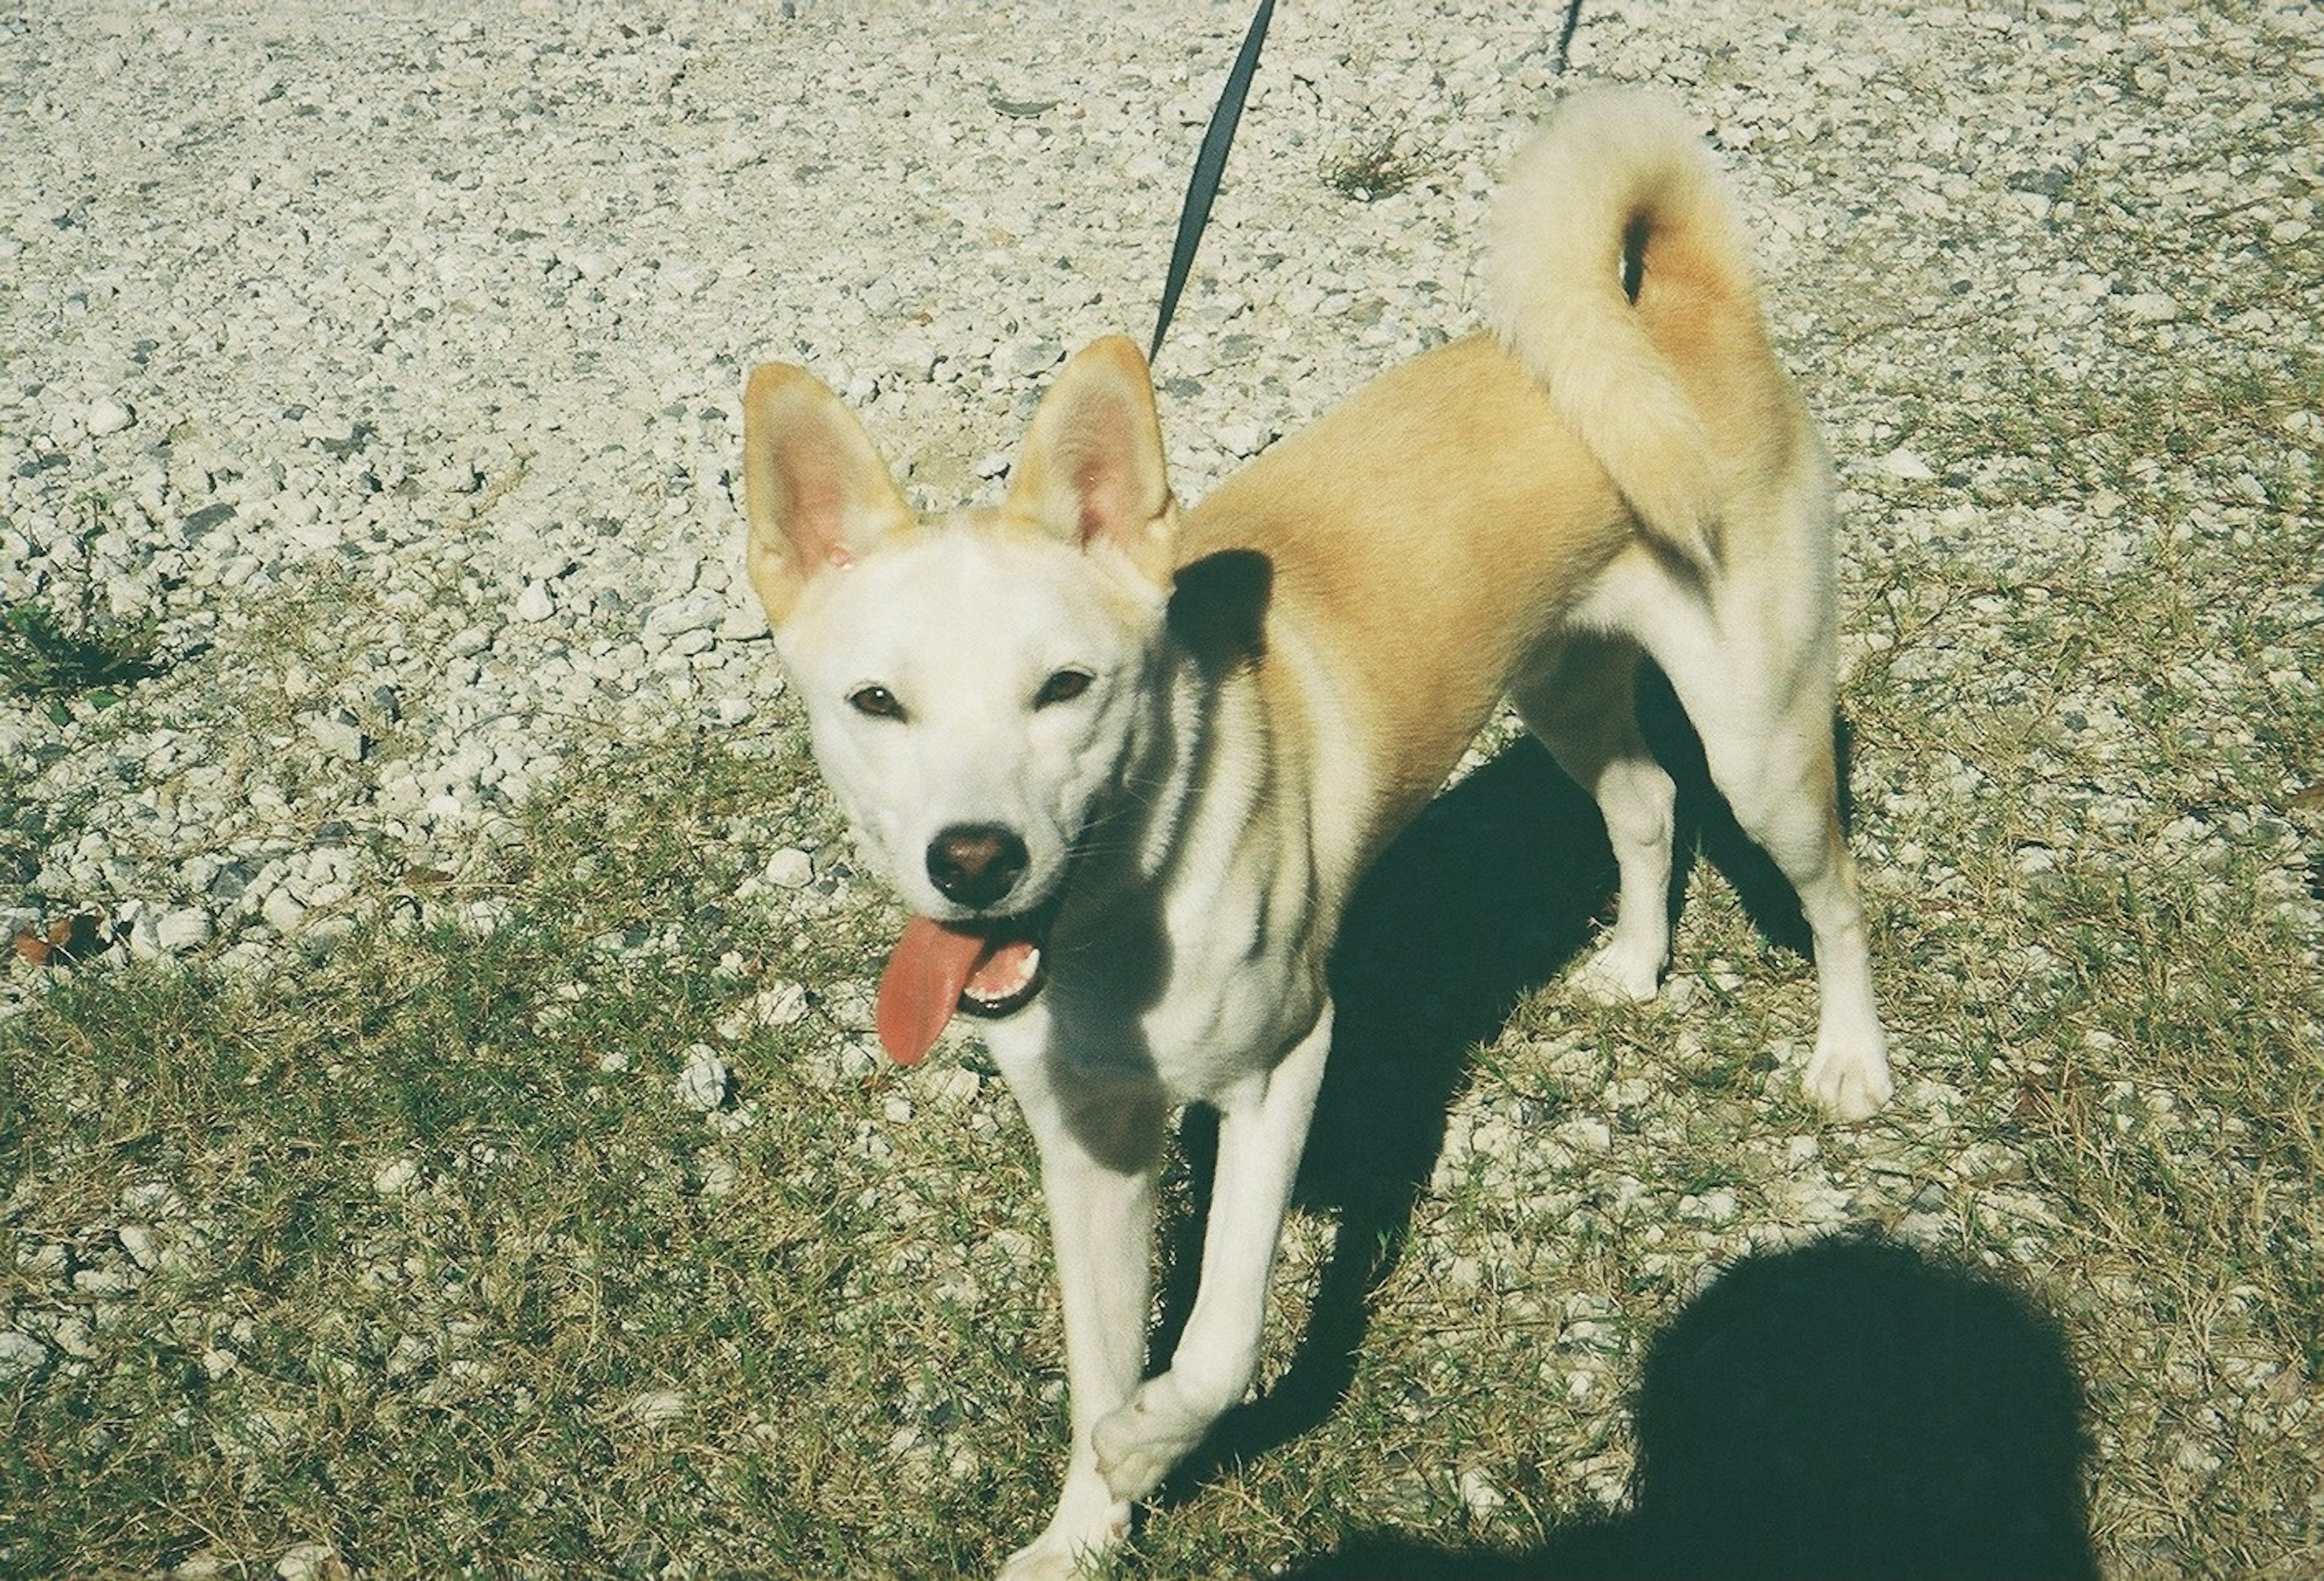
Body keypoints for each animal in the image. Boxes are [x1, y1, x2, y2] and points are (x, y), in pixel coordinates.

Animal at [739, 92, 1887, 1571]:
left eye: (1066, 687)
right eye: (877, 702)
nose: (974, 858)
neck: (1121, 908)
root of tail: (1682, 309)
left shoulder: (1289, 1061)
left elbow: (1221, 1336)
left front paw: (1154, 1442)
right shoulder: (1088, 1140)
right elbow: (1099, 1356)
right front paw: (1087, 1525)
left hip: (1762, 739)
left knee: (1835, 889)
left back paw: (1852, 1058)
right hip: (1563, 687)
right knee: (1647, 805)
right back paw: (1637, 962)